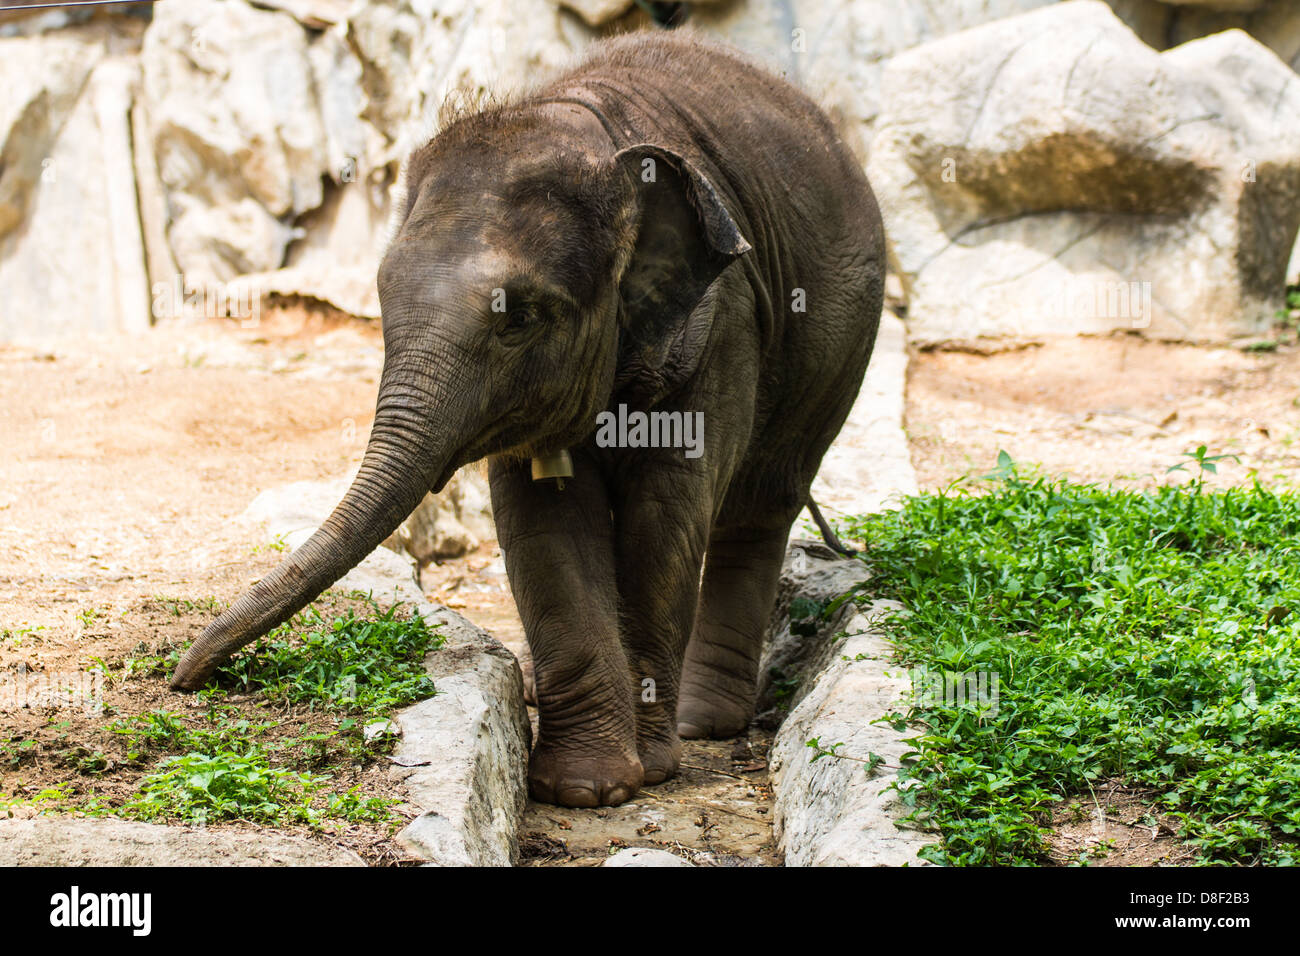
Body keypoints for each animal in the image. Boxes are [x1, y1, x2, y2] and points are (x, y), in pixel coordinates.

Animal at [172, 29, 883, 806]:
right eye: (382, 299)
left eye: (521, 320)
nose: (182, 676)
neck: (583, 129)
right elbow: (541, 521)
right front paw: (586, 788)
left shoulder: (721, 327)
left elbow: (662, 520)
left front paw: (639, 775)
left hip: (841, 345)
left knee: (758, 507)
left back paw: (702, 725)